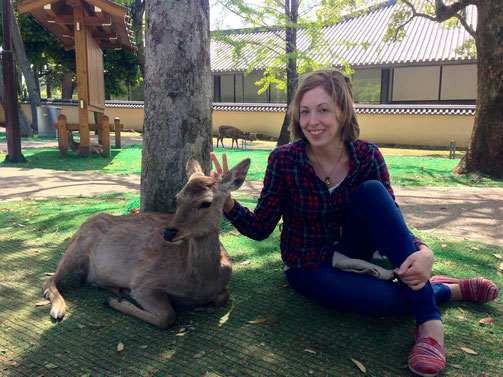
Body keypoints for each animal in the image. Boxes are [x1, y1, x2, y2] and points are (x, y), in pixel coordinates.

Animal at [42, 154, 251, 328]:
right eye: (177, 198)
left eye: (206, 203)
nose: (168, 232)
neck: (200, 283)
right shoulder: (145, 280)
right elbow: (167, 317)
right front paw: (115, 302)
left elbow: (223, 297)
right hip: (76, 248)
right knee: (49, 280)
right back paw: (59, 309)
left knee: (86, 279)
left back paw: (119, 291)